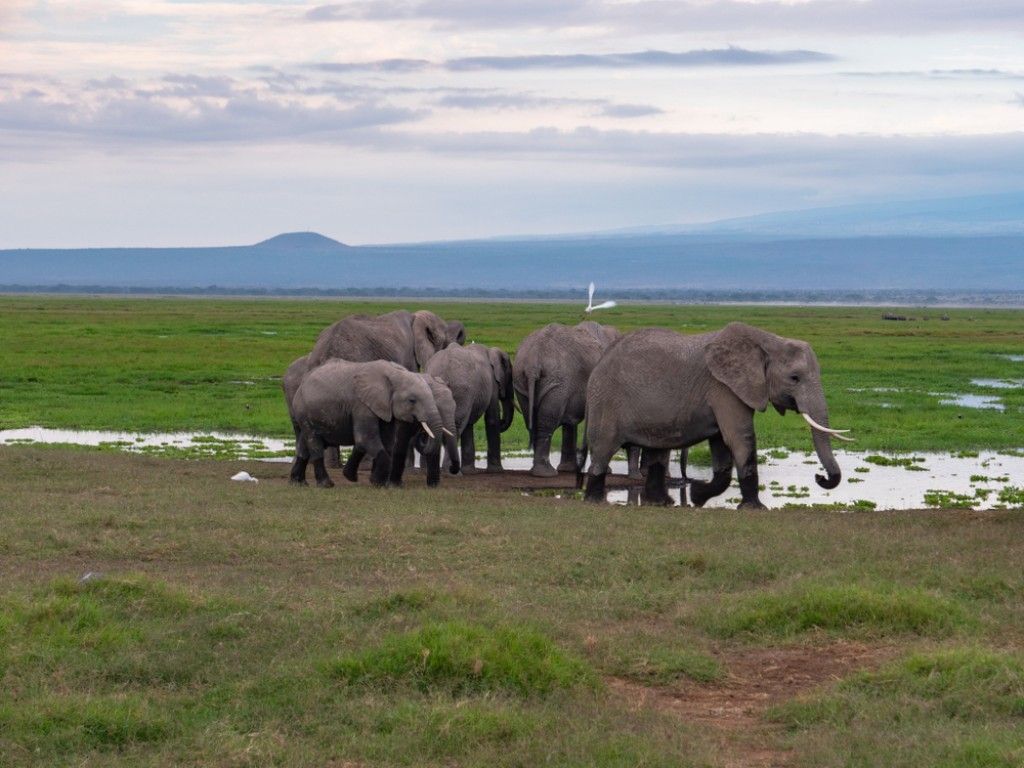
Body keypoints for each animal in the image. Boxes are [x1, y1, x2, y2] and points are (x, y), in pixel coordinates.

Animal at [289, 359, 447, 488]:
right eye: (412, 400)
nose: (421, 430)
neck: (395, 373)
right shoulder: (362, 406)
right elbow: (365, 439)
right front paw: (378, 483)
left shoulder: (384, 407)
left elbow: (386, 442)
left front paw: (361, 479)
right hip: (304, 412)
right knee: (314, 444)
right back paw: (326, 484)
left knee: (303, 446)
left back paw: (299, 483)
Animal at [424, 343, 515, 473]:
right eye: (510, 376)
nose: (503, 422)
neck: (490, 350)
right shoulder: (492, 383)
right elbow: (492, 419)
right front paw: (496, 471)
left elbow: (469, 424)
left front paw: (469, 471)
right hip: (461, 389)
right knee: (457, 424)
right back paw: (452, 472)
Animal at [513, 321, 632, 478]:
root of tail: (533, 362)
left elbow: (569, 422)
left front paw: (568, 469)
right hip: (557, 383)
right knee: (546, 422)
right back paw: (546, 473)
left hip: (522, 381)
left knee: (531, 420)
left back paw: (538, 471)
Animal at [580, 322, 848, 508]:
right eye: (795, 378)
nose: (820, 477)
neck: (768, 340)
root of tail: (600, 362)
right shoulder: (724, 388)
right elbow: (739, 438)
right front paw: (755, 509)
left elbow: (722, 447)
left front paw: (698, 496)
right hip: (606, 402)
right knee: (603, 448)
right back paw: (595, 501)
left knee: (656, 451)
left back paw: (659, 504)